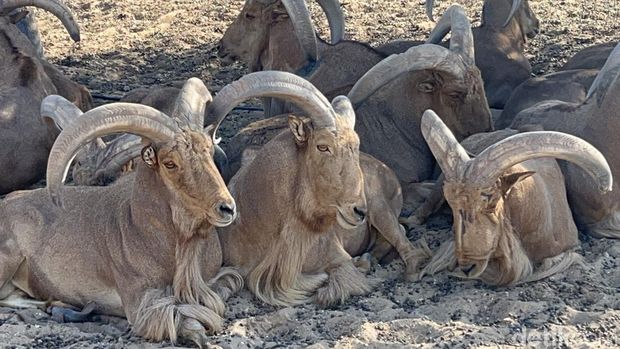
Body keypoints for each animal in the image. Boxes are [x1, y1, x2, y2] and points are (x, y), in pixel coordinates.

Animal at [0, 77, 243, 346]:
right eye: (170, 163)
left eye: (208, 152)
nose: (226, 208)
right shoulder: (139, 301)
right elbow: (186, 319)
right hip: (7, 257)